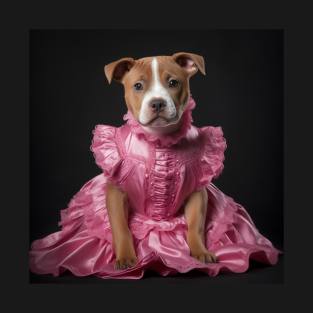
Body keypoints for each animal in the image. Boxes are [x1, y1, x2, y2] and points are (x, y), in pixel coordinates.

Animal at [103, 52, 216, 270]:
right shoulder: (116, 191)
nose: (157, 103)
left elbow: (195, 226)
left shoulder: (197, 192)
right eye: (138, 86)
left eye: (173, 83)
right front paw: (125, 257)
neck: (159, 139)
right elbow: (121, 227)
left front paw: (201, 251)